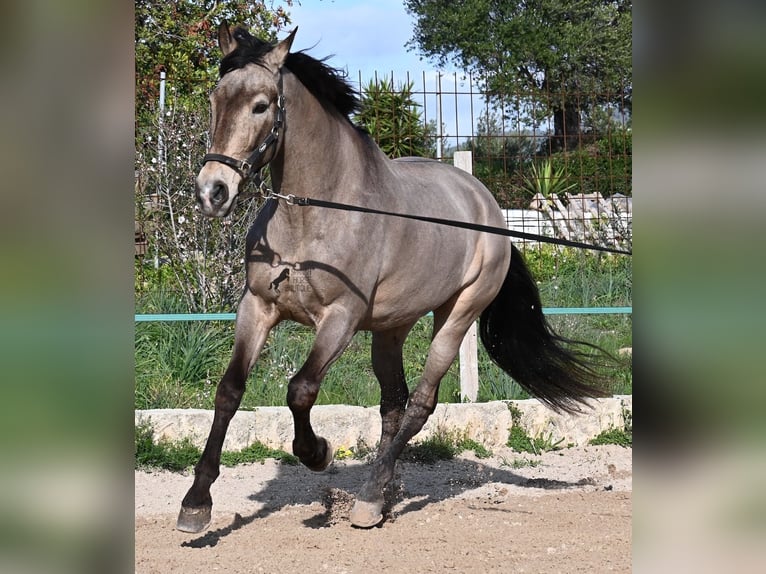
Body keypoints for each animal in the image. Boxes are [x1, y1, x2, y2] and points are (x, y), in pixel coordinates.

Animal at [176, 22, 612, 532]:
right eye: (215, 100)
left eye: (261, 105)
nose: (212, 192)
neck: (315, 213)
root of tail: (488, 208)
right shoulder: (258, 306)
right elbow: (229, 390)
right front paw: (196, 503)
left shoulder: (340, 318)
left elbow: (301, 389)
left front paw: (317, 452)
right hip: (390, 327)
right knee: (393, 404)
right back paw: (378, 495)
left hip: (457, 315)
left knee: (420, 403)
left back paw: (368, 499)